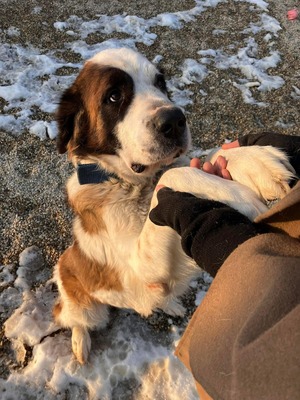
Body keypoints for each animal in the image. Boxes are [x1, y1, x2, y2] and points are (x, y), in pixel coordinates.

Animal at [52, 47, 294, 366]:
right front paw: (238, 192)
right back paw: (80, 342)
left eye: (160, 82)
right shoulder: (139, 272)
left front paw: (255, 160)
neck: (129, 183)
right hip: (84, 303)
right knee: (72, 318)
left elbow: (201, 159)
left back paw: (170, 304)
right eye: (114, 96)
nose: (175, 119)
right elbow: (171, 176)